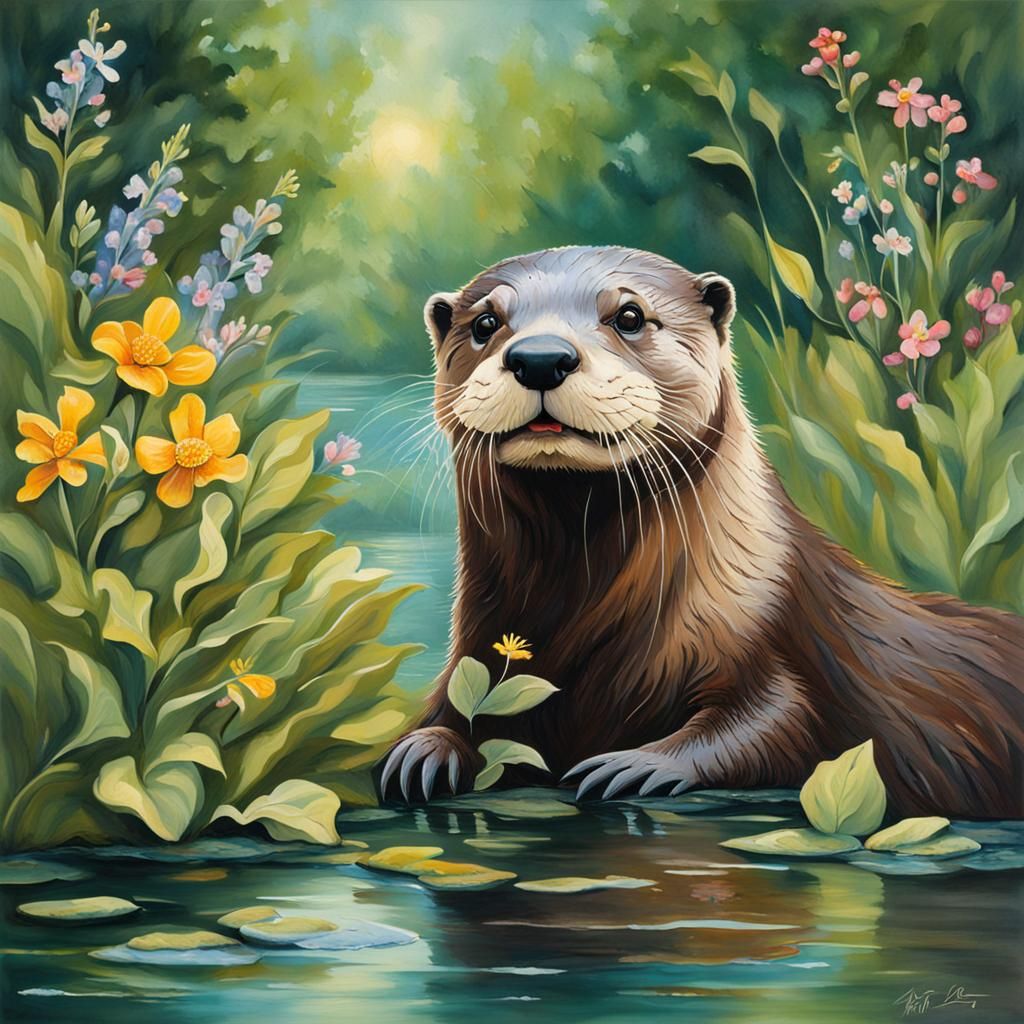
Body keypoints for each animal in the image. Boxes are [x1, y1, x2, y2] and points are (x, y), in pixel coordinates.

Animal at [378, 246, 1024, 819]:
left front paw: (636, 764)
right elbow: (451, 714)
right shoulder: (476, 652)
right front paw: (422, 751)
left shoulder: (764, 632)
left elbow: (781, 723)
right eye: (486, 322)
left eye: (630, 316)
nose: (539, 357)